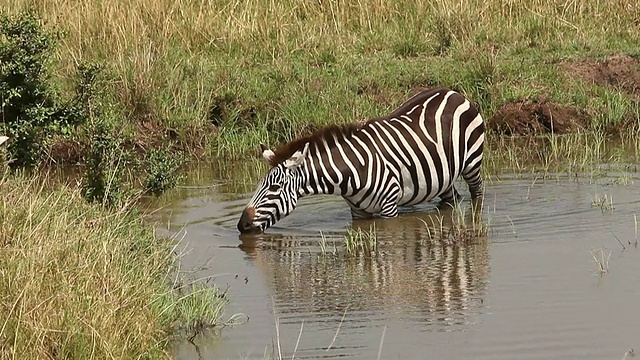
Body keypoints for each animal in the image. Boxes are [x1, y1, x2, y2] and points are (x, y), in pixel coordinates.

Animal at [238, 87, 482, 233]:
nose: (242, 225)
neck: (349, 173)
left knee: (476, 193)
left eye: (274, 188)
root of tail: (452, 92)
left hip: (472, 163)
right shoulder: (358, 213)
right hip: (442, 177)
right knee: (452, 199)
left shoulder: (389, 208)